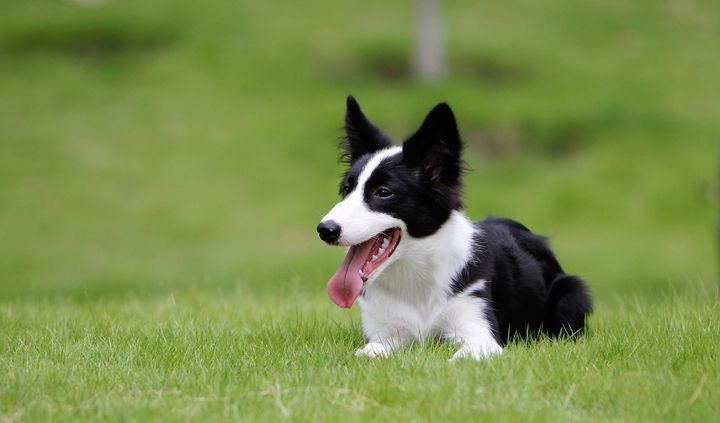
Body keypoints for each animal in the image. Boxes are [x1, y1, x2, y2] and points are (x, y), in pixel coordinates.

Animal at [316, 97, 592, 362]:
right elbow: (371, 350)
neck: (415, 279)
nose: (325, 230)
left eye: (383, 193)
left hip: (572, 293)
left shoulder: (479, 329)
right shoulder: (386, 332)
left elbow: (464, 355)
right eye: (346, 189)